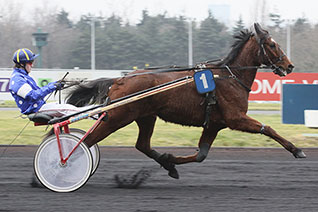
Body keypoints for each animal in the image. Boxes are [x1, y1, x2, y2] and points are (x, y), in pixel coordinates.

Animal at [65, 23, 306, 179]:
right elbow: (268, 128)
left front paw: (171, 159)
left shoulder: (214, 124)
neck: (230, 76)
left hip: (146, 117)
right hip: (118, 117)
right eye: (272, 45)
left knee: (142, 145)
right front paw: (296, 149)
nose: (289, 65)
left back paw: (167, 165)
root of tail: (120, 79)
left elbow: (201, 155)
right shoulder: (236, 118)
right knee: (86, 142)